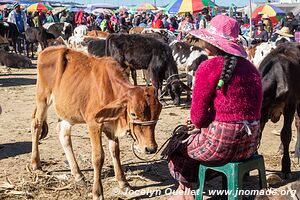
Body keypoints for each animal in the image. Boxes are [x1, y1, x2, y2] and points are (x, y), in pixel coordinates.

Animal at [30, 46, 162, 199]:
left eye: (158, 113)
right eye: (133, 113)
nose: (150, 148)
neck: (111, 90)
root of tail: (47, 50)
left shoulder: (111, 126)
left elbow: (115, 152)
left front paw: (123, 183)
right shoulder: (94, 124)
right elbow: (98, 157)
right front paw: (97, 192)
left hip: (67, 112)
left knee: (63, 134)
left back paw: (78, 174)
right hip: (42, 99)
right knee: (36, 125)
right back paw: (35, 164)